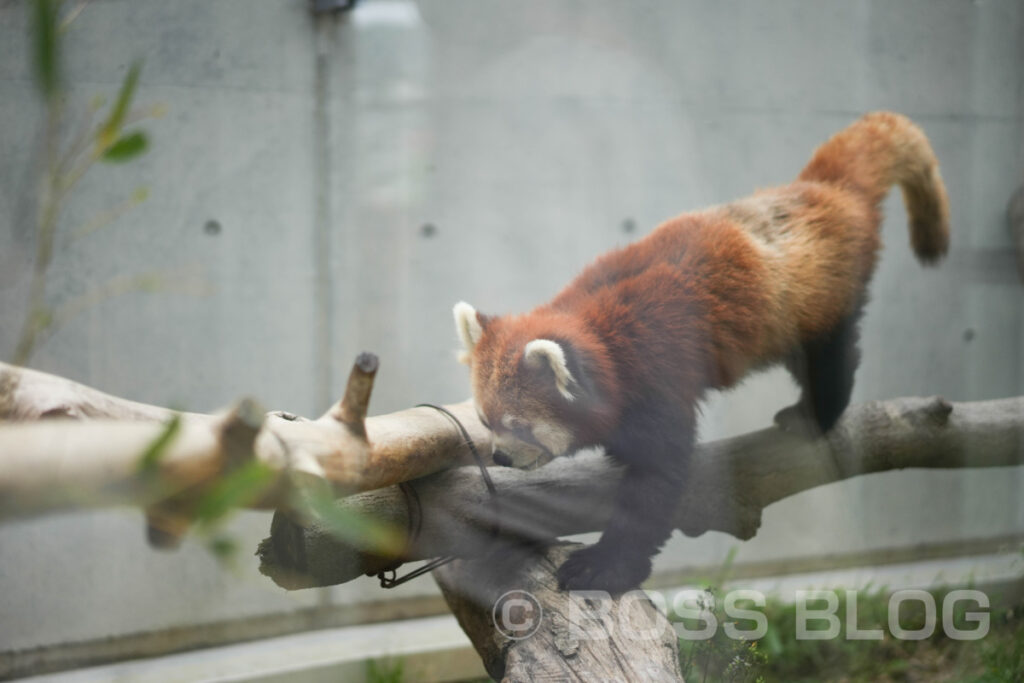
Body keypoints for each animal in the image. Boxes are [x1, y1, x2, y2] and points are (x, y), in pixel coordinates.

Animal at [452, 112, 946, 593]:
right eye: (485, 422)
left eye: (521, 427)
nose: (500, 457)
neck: (605, 340)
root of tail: (822, 191)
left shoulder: (657, 378)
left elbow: (656, 484)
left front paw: (606, 565)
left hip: (813, 304)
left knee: (828, 358)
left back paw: (814, 413)